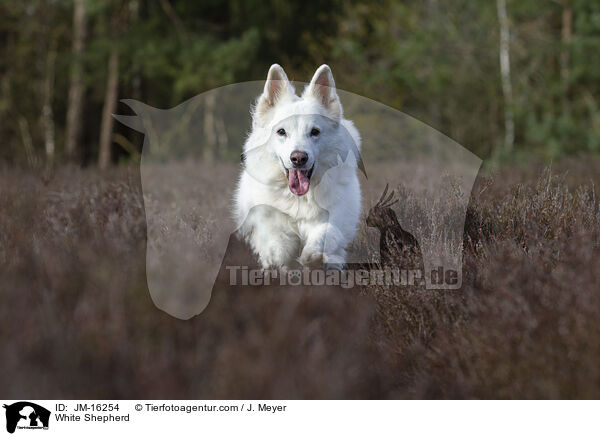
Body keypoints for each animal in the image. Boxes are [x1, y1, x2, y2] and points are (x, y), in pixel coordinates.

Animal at [234, 64, 360, 270]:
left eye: (315, 132)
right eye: (281, 132)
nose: (298, 158)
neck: (298, 199)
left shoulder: (333, 217)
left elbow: (324, 233)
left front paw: (312, 256)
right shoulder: (268, 224)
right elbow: (276, 247)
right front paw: (278, 264)